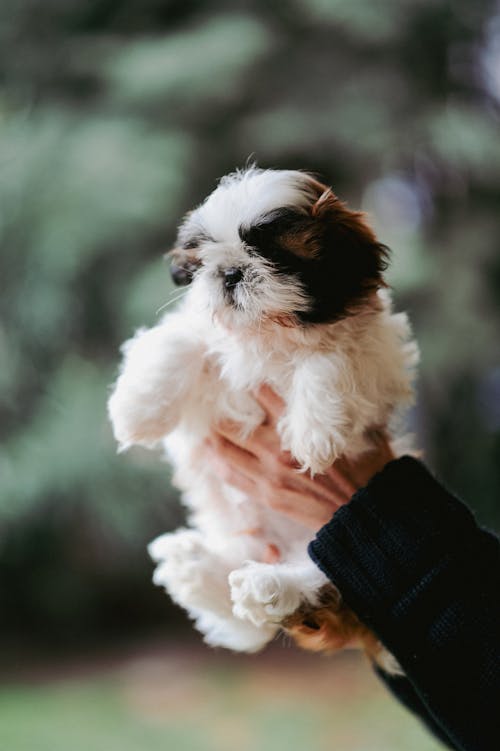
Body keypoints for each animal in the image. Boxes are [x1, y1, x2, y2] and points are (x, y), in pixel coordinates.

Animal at [108, 167, 418, 672]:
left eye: (273, 251)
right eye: (204, 256)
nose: (230, 271)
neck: (269, 334)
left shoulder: (376, 355)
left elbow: (331, 358)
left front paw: (314, 432)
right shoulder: (207, 341)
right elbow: (181, 340)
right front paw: (137, 409)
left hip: (327, 550)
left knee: (318, 587)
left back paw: (265, 587)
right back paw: (194, 569)